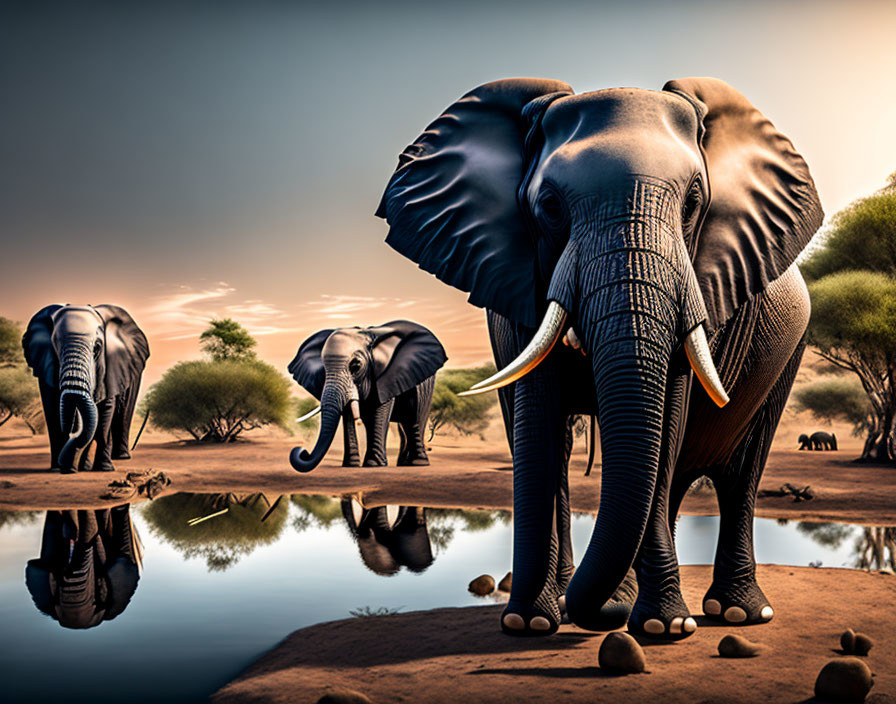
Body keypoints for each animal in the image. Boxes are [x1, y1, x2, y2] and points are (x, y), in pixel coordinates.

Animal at [21, 302, 149, 472]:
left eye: (97, 347)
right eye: (55, 344)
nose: (67, 467)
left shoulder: (111, 369)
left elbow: (105, 412)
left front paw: (104, 469)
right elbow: (53, 409)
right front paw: (58, 469)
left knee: (123, 413)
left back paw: (120, 458)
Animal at [288, 322, 446, 470]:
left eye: (356, 366)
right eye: (323, 368)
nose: (302, 452)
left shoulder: (386, 377)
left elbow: (379, 410)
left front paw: (373, 465)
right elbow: (348, 412)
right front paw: (351, 465)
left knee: (415, 417)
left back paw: (417, 463)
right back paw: (403, 463)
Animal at [374, 75, 824, 640]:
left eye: (694, 203)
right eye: (549, 206)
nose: (599, 612)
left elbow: (666, 423)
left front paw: (662, 627)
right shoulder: (517, 285)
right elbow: (537, 429)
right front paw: (529, 622)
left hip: (791, 349)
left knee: (738, 470)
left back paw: (738, 613)